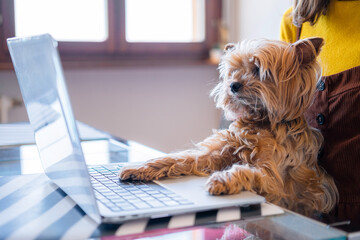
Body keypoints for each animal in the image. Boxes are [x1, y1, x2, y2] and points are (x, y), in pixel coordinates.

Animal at [118, 38, 338, 216]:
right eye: (234, 70)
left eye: (258, 69)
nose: (233, 85)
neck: (259, 122)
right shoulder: (213, 154)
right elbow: (182, 158)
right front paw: (141, 167)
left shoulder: (274, 180)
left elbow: (247, 171)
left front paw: (222, 180)